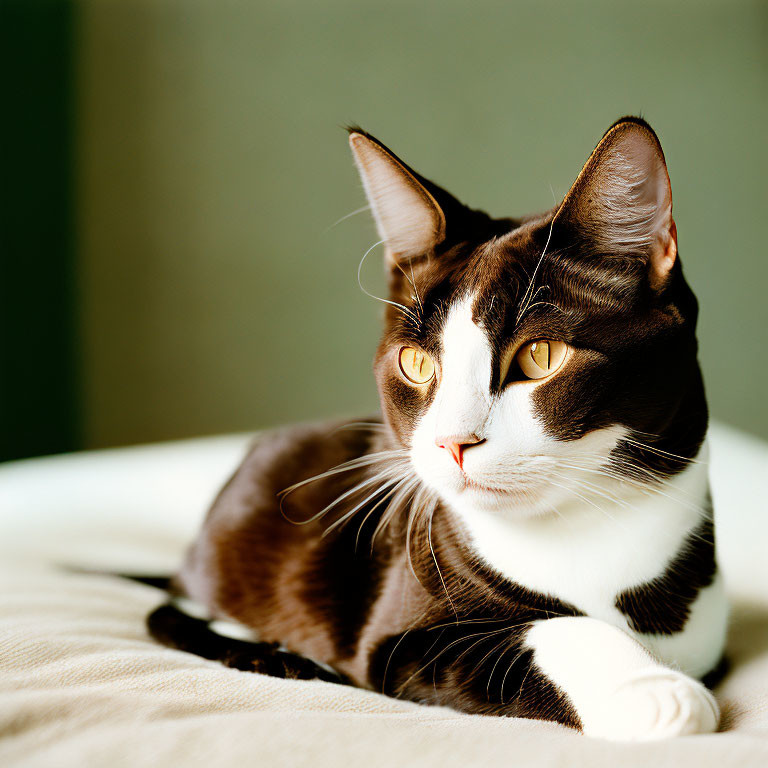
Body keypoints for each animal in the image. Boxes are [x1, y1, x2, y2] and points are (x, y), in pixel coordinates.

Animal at [144, 118, 728, 736]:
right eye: (417, 363)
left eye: (540, 356)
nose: (453, 441)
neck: (584, 532)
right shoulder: (399, 641)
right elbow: (542, 630)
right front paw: (655, 690)